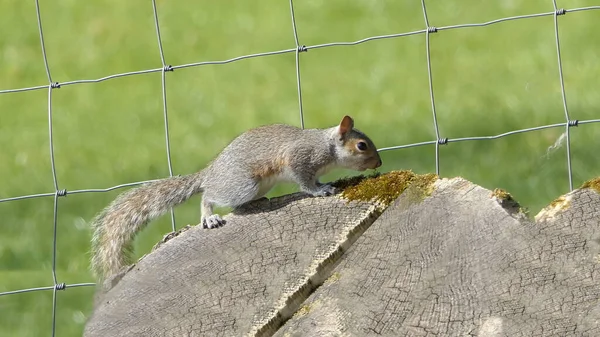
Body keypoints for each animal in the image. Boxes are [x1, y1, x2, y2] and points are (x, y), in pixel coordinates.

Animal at [89, 115, 380, 278]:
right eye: (361, 145)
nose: (378, 163)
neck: (327, 147)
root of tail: (211, 172)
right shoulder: (300, 160)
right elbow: (306, 183)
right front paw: (322, 191)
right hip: (242, 184)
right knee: (208, 195)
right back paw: (209, 216)